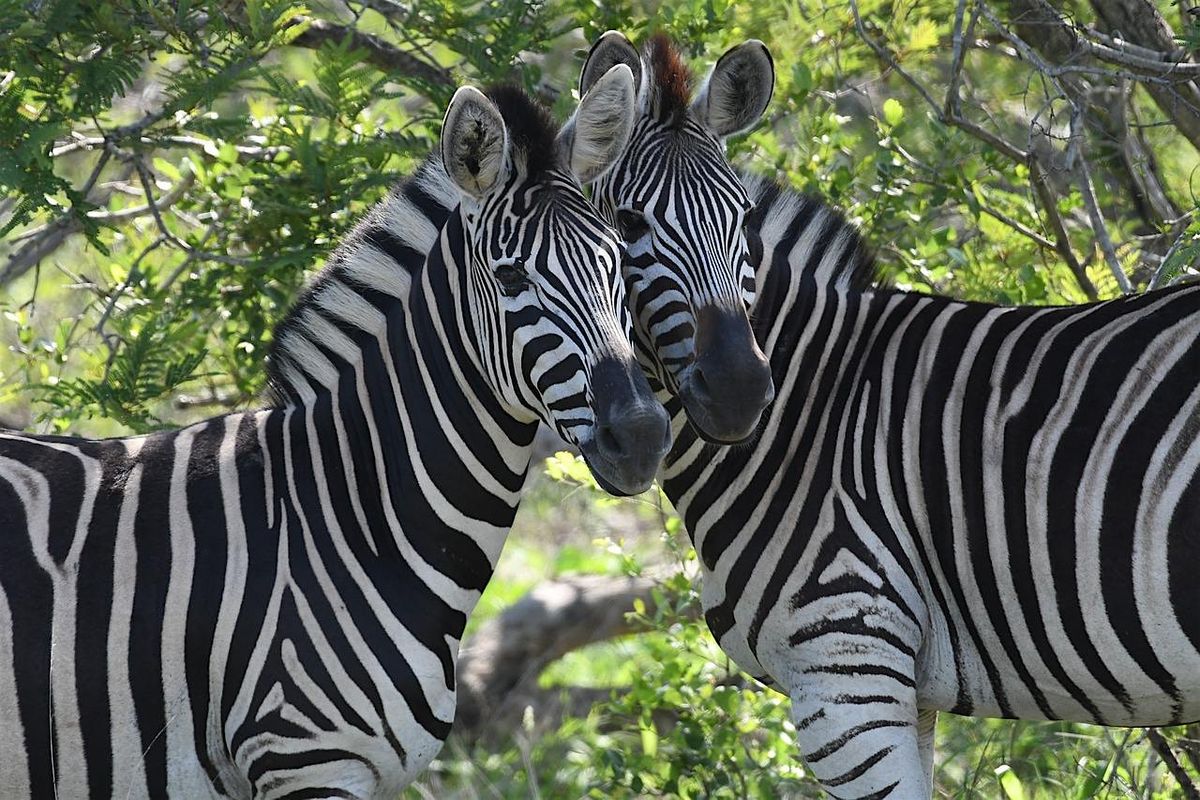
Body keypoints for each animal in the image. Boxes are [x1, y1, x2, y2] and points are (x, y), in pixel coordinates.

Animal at [576, 32, 1200, 800]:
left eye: (741, 218)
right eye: (628, 224)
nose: (742, 390)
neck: (817, 413)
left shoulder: (846, 674)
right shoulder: (899, 693)